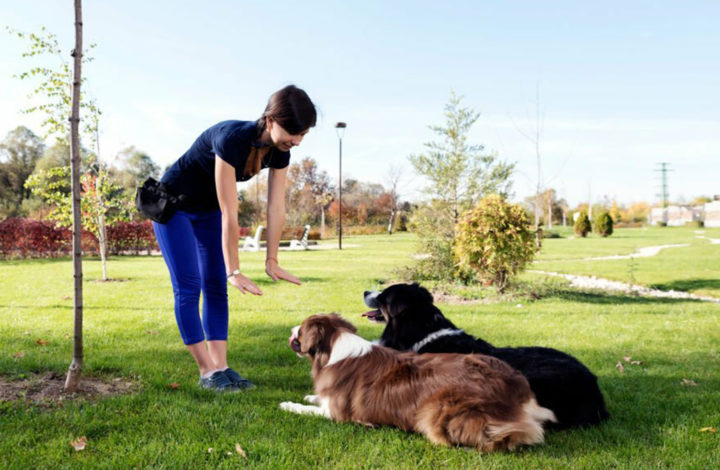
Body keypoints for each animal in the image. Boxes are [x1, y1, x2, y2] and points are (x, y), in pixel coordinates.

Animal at [278, 314, 556, 454]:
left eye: (300, 331)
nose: (290, 329)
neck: (334, 347)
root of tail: (517, 388)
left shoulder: (336, 414)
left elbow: (308, 409)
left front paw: (288, 404)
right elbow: (314, 399)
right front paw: (309, 396)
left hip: (438, 410)